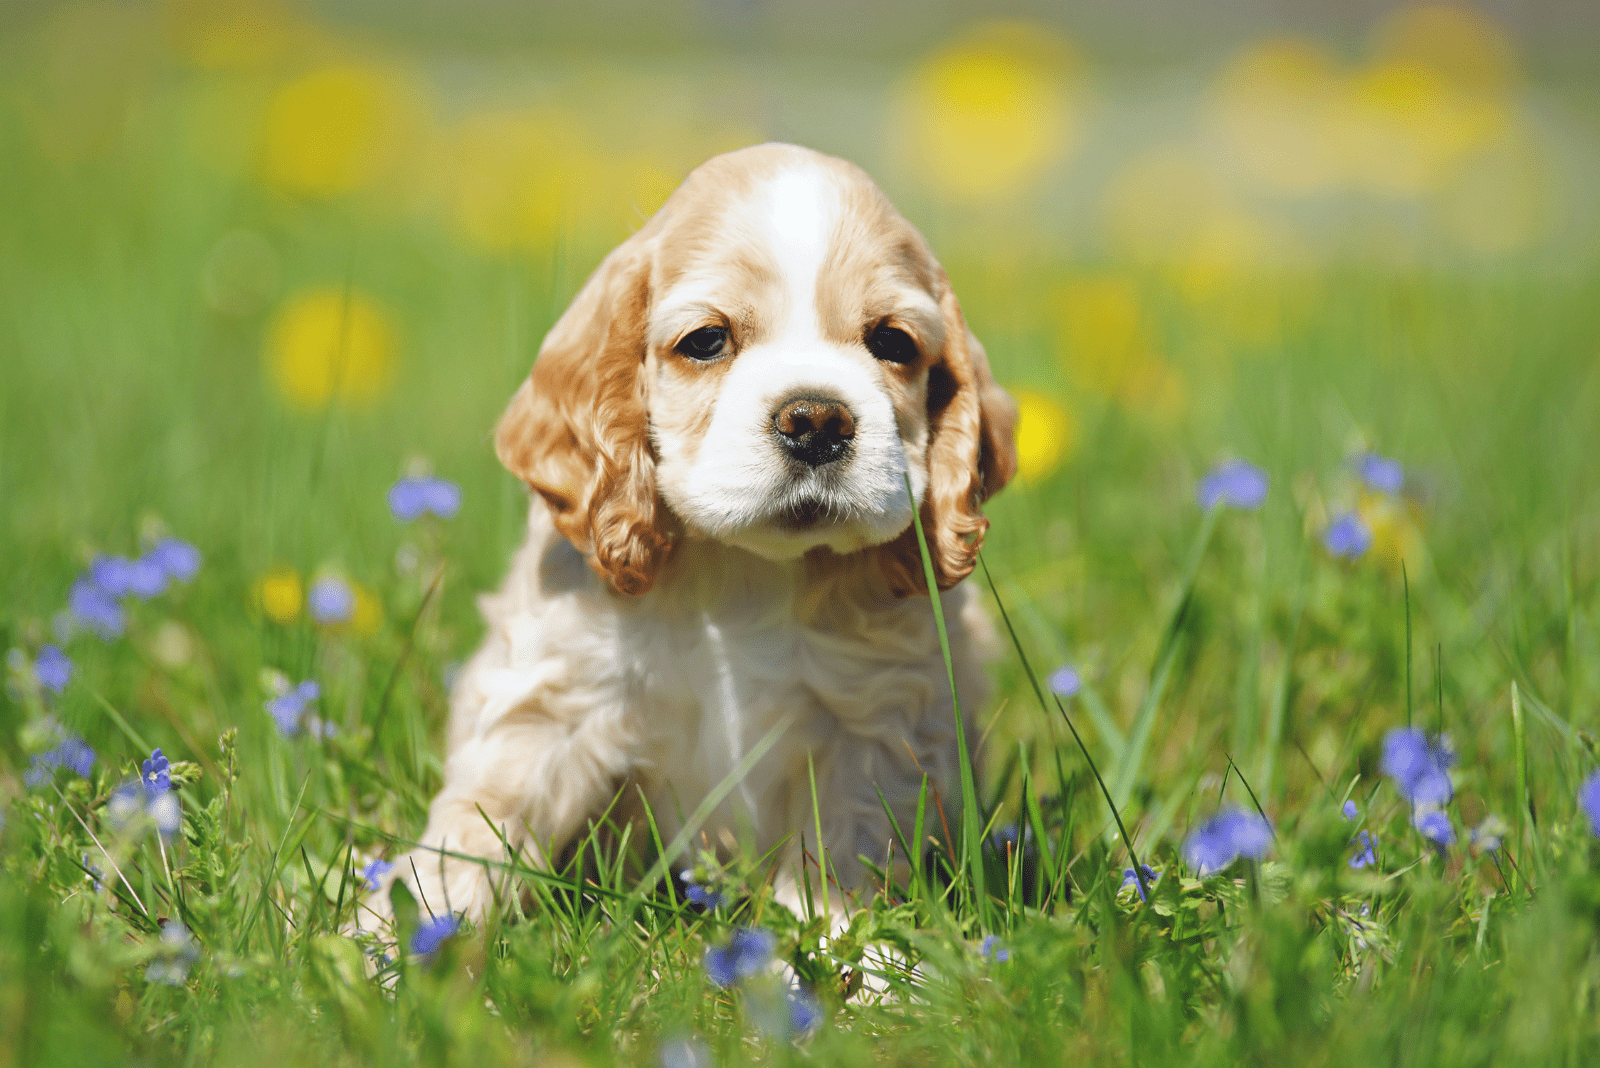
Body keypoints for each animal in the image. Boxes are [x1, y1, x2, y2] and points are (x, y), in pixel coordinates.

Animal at [374, 139, 1011, 927]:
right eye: (706, 340)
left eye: (892, 341)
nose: (817, 420)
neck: (744, 573)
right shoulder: (557, 700)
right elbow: (478, 827)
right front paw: (404, 937)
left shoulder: (875, 724)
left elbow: (844, 851)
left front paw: (846, 950)